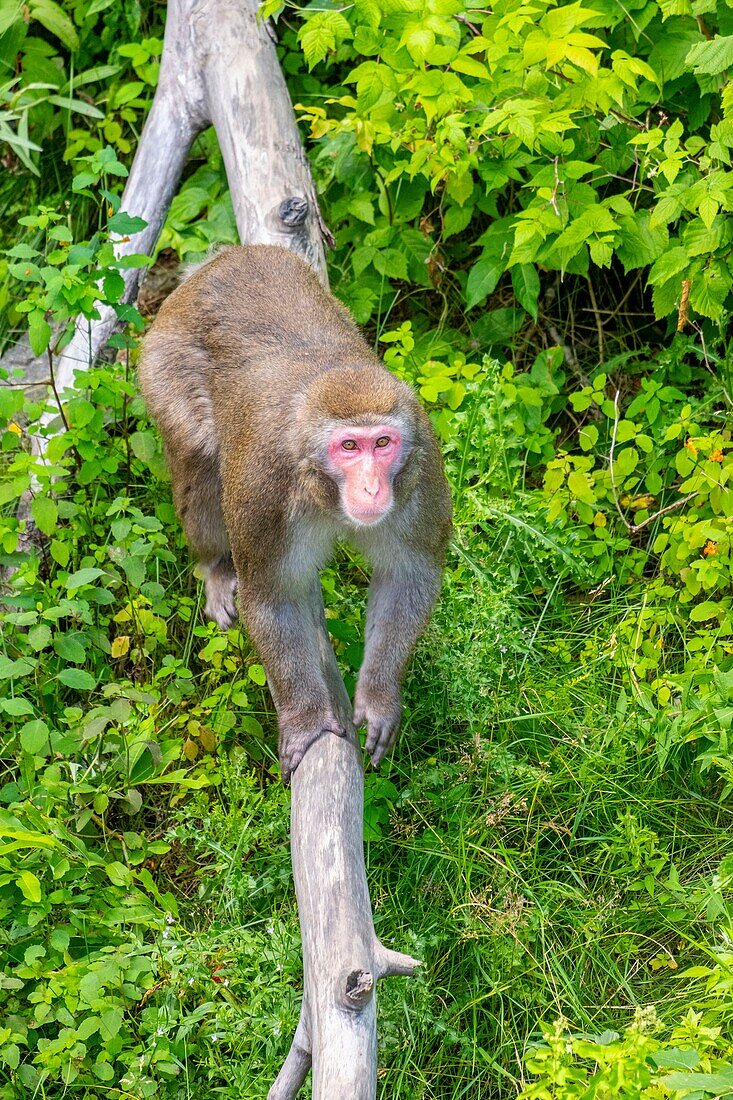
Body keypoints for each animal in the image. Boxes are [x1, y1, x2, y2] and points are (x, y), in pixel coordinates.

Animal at [134, 247, 449, 783]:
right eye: (349, 447)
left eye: (383, 443)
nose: (372, 487)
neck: (322, 487)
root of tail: (223, 260)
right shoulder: (267, 487)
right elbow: (271, 596)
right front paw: (306, 721)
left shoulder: (421, 470)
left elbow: (409, 576)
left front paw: (379, 699)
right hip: (163, 363)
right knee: (198, 459)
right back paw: (215, 566)